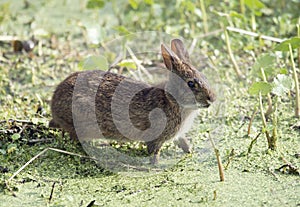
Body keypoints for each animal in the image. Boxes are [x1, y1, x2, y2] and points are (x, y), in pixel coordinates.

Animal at [49, 38, 216, 163]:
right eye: (191, 84)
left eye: (204, 76)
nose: (212, 98)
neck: (172, 100)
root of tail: (54, 104)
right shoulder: (156, 138)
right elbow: (154, 154)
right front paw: (157, 167)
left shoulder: (179, 135)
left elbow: (184, 144)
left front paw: (192, 152)